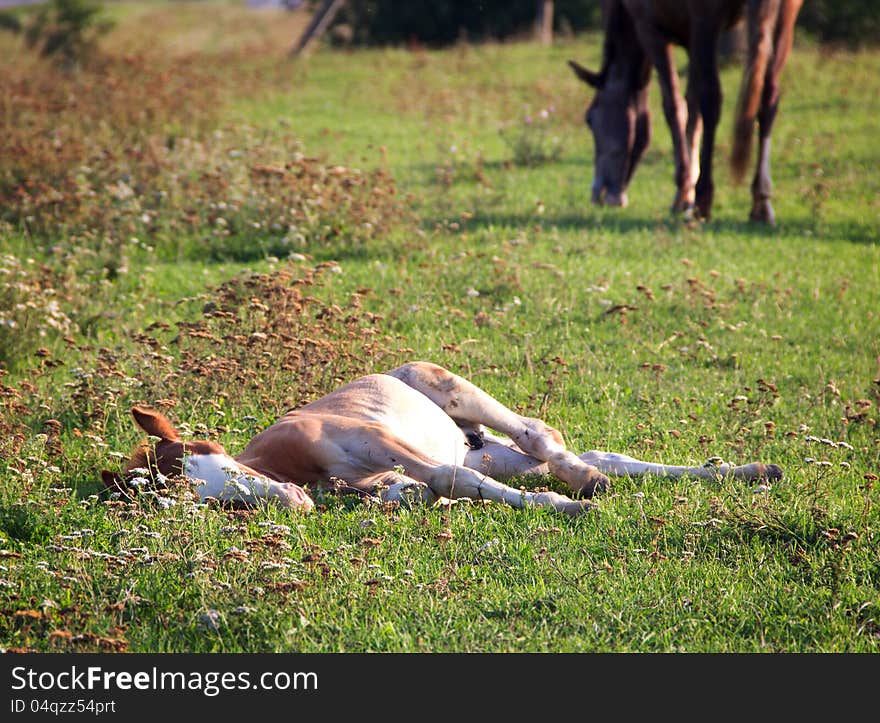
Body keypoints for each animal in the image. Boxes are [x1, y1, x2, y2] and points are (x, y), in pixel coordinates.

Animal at [572, 0, 804, 222]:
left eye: (589, 119)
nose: (599, 193)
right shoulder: (691, 38)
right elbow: (692, 106)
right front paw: (685, 193)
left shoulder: (650, 29)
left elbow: (674, 107)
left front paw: (684, 191)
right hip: (784, 16)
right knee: (768, 98)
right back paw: (761, 202)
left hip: (706, 20)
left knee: (712, 99)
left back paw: (704, 200)